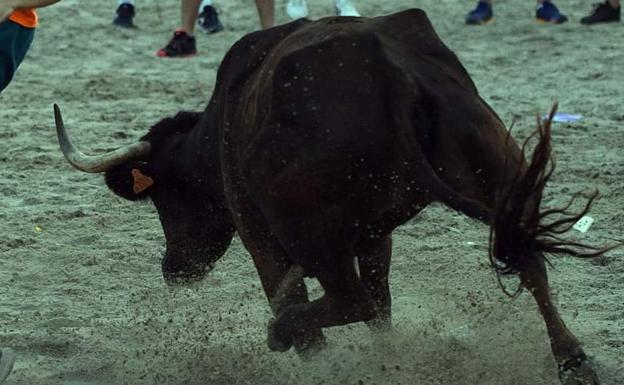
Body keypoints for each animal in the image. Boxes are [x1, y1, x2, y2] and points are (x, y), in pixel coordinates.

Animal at [53, 9, 608, 384]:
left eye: (165, 199)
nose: (174, 272)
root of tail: (390, 74)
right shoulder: (375, 233)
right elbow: (382, 304)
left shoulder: (259, 233)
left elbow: (303, 300)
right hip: (502, 173)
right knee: (528, 263)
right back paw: (573, 361)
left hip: (303, 228)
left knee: (344, 298)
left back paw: (282, 332)